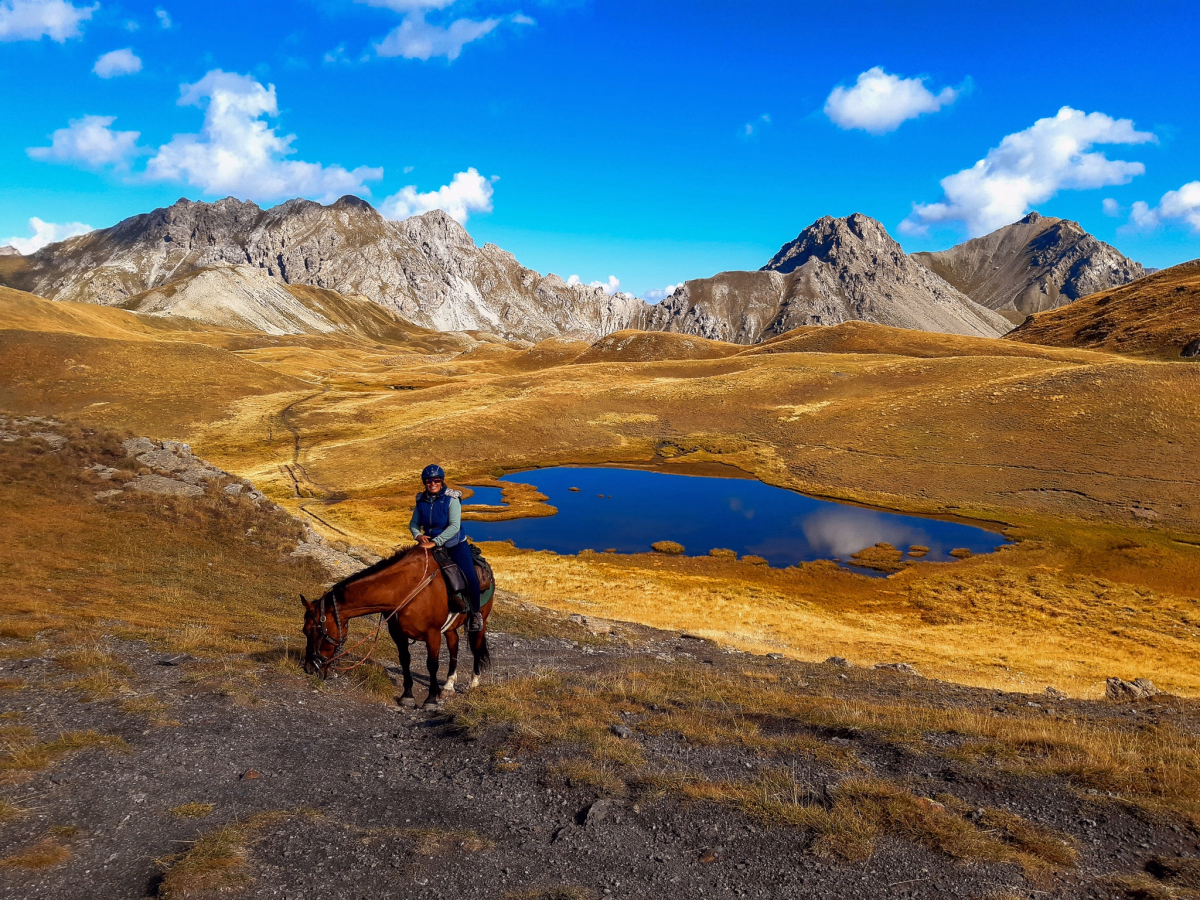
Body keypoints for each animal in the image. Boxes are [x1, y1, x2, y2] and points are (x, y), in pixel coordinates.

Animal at [300, 544, 493, 708]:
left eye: (311, 631)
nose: (309, 668)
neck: (406, 589)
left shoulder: (433, 634)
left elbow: (432, 664)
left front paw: (430, 699)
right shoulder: (397, 633)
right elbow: (405, 660)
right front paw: (407, 696)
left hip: (480, 621)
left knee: (476, 647)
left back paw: (474, 682)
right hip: (450, 628)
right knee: (454, 646)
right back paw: (448, 686)